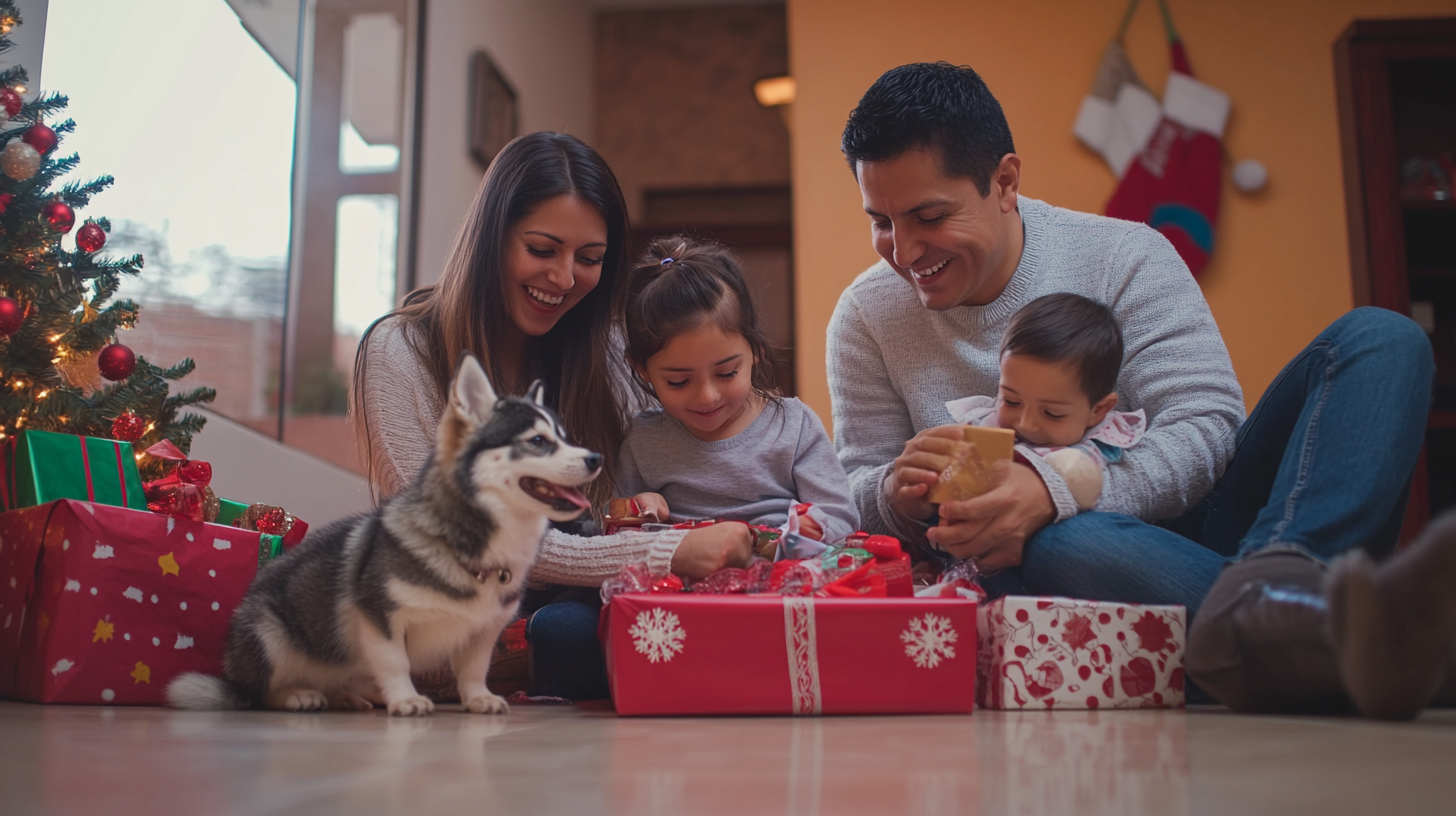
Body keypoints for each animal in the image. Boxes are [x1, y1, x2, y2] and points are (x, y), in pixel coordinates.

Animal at [167, 352, 599, 714]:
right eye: (538, 441)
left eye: (564, 437)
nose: (596, 457)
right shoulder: (379, 615)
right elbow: (395, 661)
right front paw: (406, 699)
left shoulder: (484, 631)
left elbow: (474, 669)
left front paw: (478, 698)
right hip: (269, 636)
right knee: (261, 694)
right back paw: (298, 695)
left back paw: (347, 697)